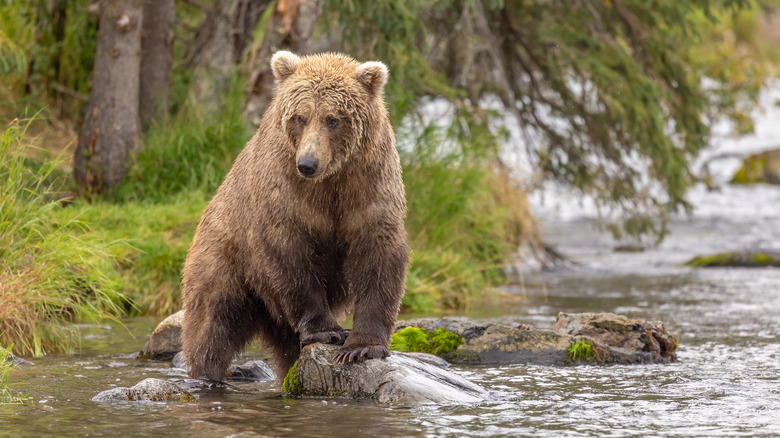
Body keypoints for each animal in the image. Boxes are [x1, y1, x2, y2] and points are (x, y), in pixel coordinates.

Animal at [181, 51, 409, 382]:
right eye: (300, 117)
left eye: (333, 119)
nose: (308, 164)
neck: (330, 181)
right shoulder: (285, 192)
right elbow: (291, 256)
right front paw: (328, 331)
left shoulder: (368, 184)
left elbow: (377, 256)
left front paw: (361, 347)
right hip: (224, 256)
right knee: (213, 324)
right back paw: (206, 372)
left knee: (287, 348)